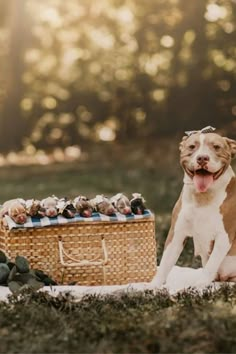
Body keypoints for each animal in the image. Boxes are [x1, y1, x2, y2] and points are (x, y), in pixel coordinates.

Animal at [153, 129, 236, 290]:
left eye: (216, 147)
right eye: (192, 147)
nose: (202, 158)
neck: (202, 197)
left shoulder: (224, 236)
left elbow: (211, 264)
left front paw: (201, 285)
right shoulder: (176, 234)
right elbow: (165, 263)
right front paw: (152, 286)